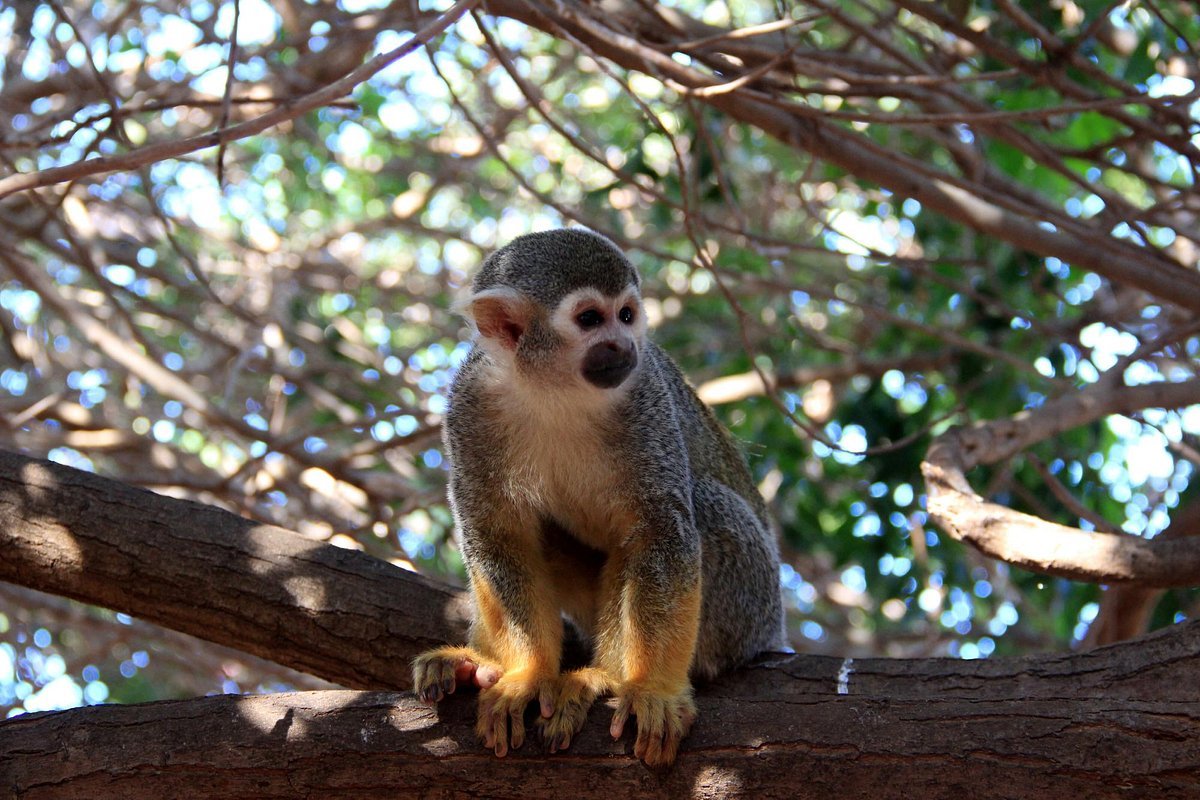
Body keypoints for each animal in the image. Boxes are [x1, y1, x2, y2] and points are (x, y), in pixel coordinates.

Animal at [411, 228, 786, 766]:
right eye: (590, 319)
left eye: (626, 314)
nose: (623, 343)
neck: (555, 390)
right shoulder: (469, 403)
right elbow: (496, 536)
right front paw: (526, 674)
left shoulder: (646, 395)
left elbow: (659, 533)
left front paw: (652, 688)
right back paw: (478, 664)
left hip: (749, 603)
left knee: (698, 511)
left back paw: (604, 678)